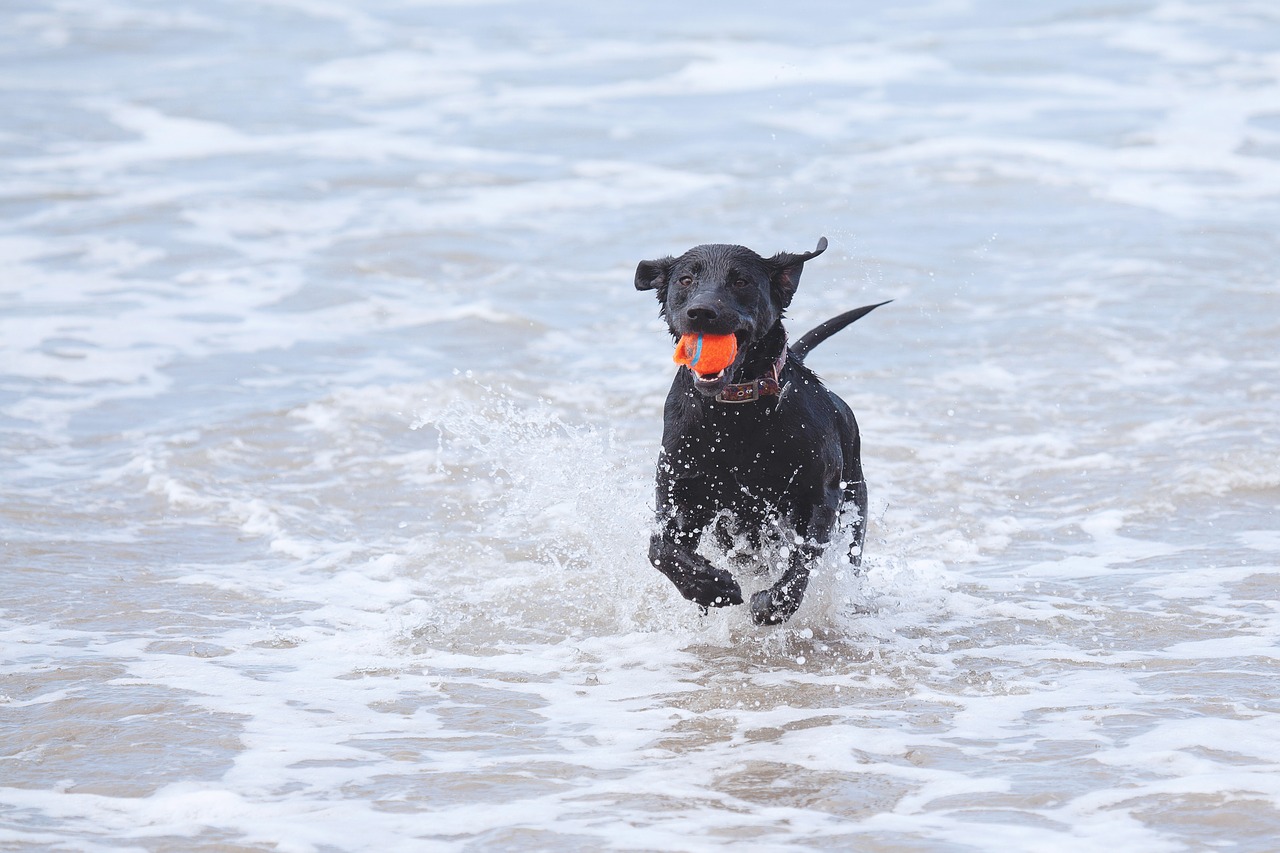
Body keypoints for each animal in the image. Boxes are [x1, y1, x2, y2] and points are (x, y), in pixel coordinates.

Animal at [632, 235, 890, 622]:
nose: (701, 312)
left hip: (854, 508)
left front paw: (774, 604)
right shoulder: (681, 494)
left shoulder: (819, 495)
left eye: (741, 281)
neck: (737, 411)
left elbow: (805, 554)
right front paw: (711, 589)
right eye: (686, 280)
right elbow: (661, 549)